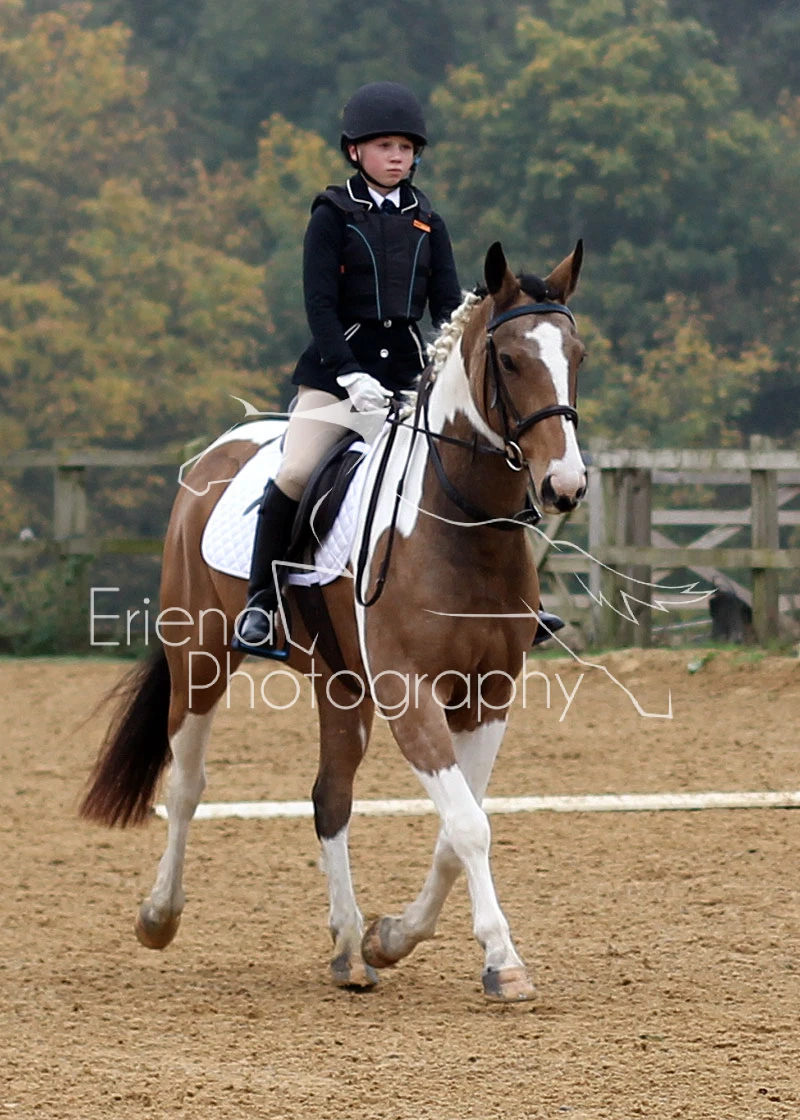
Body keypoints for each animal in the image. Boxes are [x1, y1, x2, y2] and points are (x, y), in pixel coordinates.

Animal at [80, 240, 587, 1003]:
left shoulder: (489, 692)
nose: (566, 487)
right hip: (199, 660)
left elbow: (455, 828)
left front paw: (391, 938)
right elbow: (467, 825)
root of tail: (225, 444)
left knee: (331, 797)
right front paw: (503, 961)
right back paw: (159, 916)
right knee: (187, 785)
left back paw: (349, 948)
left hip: (339, 683)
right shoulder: (408, 692)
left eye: (576, 354)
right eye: (508, 360)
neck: (460, 523)